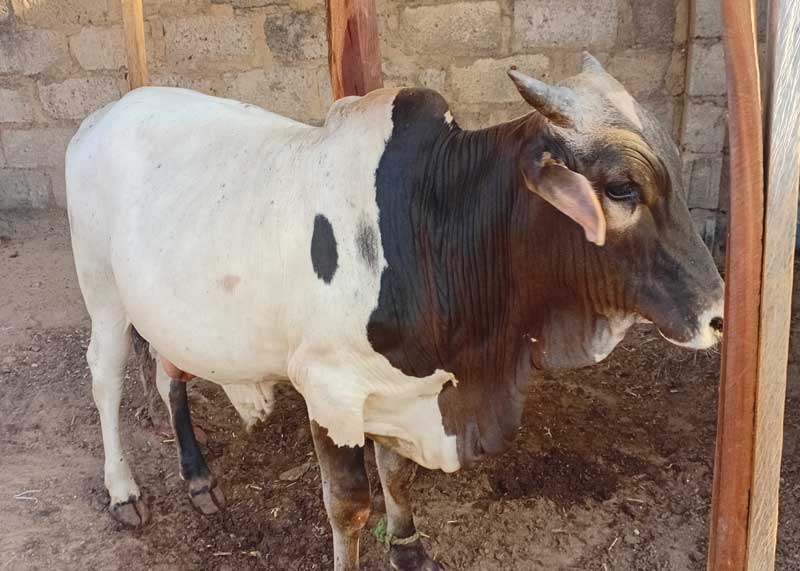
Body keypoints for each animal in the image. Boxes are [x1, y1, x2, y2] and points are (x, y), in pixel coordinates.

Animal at [65, 52, 724, 571]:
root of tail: (103, 115)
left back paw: (198, 476)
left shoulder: (405, 389)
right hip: (104, 294)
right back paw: (123, 491)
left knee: (168, 374)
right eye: (621, 188)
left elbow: (397, 471)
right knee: (104, 377)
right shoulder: (328, 390)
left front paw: (409, 546)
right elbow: (349, 505)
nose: (718, 315)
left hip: (164, 310)